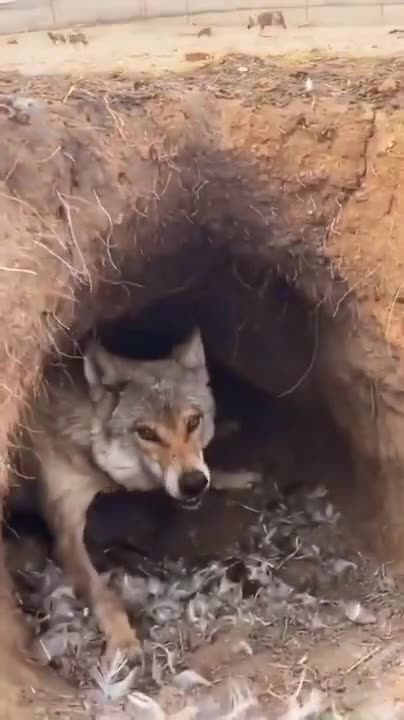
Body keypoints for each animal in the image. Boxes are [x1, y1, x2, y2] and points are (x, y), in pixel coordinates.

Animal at [16, 330, 215, 662]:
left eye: (193, 422)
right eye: (146, 433)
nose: (193, 483)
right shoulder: (67, 534)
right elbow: (104, 594)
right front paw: (123, 641)